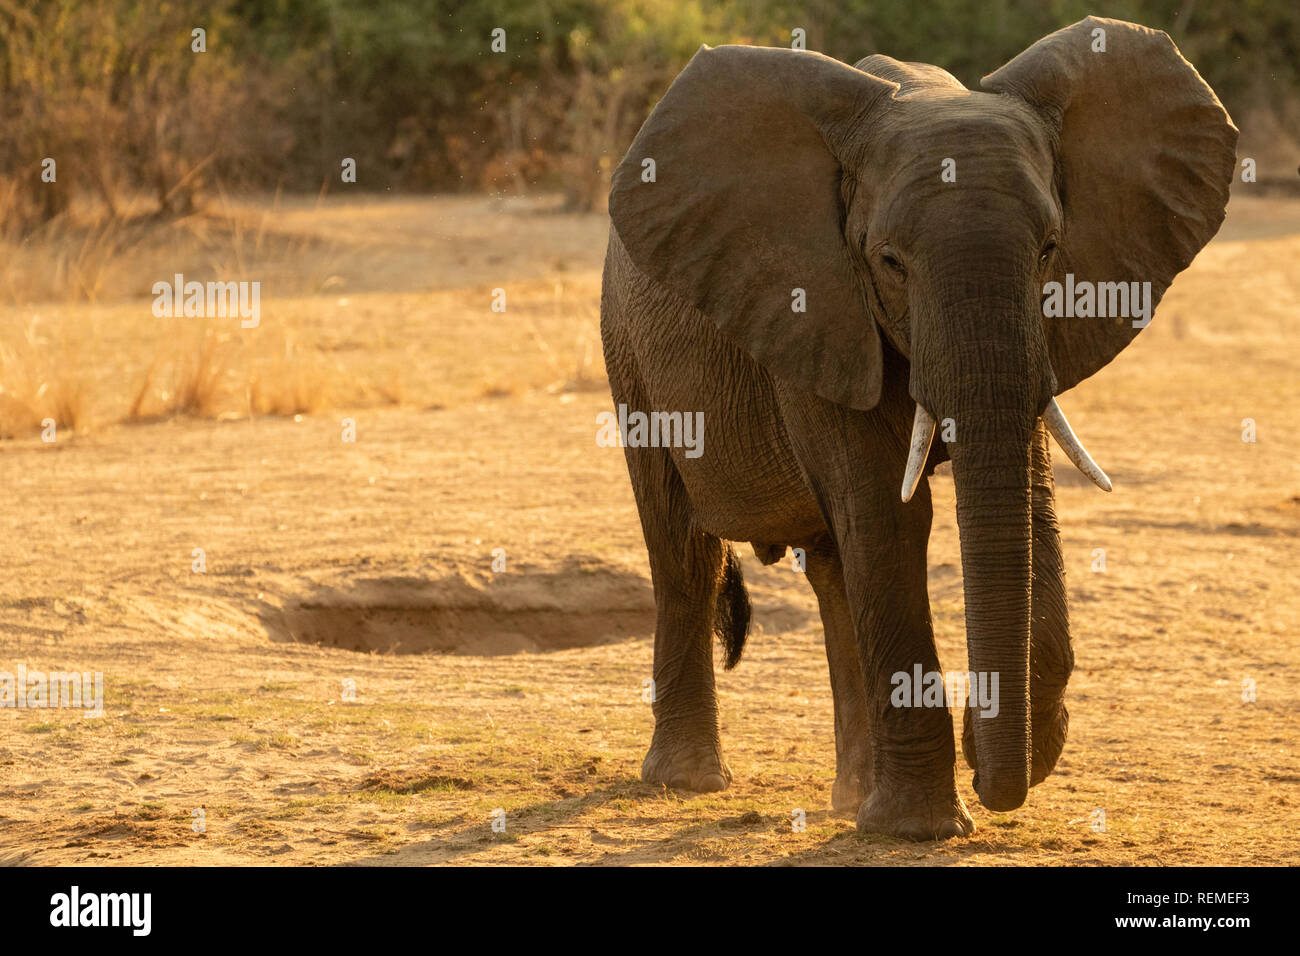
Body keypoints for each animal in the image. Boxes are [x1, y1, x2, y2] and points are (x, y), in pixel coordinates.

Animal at [598, 14, 1237, 837]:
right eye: (890, 262)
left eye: (1050, 250)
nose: (996, 772)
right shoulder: (818, 301)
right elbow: (886, 510)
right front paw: (922, 826)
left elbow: (1027, 497)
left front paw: (1009, 747)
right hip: (629, 355)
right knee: (685, 550)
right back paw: (691, 783)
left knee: (833, 570)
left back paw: (850, 797)